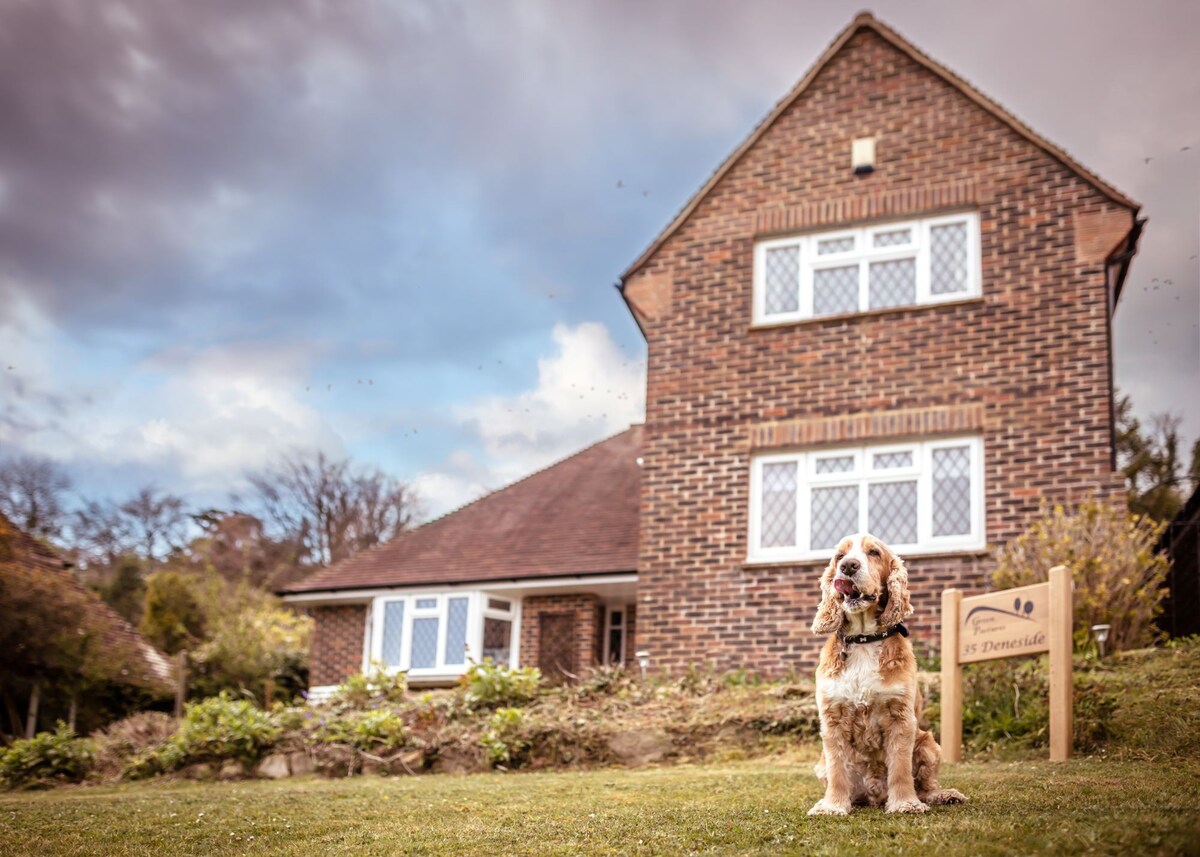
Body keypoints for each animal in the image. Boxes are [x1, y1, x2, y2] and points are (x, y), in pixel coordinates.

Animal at [806, 528, 964, 816]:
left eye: (874, 552)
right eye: (840, 556)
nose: (848, 566)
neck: (863, 640)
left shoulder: (900, 716)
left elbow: (900, 767)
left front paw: (905, 803)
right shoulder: (832, 719)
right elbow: (837, 770)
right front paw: (832, 806)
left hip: (929, 743)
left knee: (926, 786)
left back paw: (944, 795)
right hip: (821, 763)